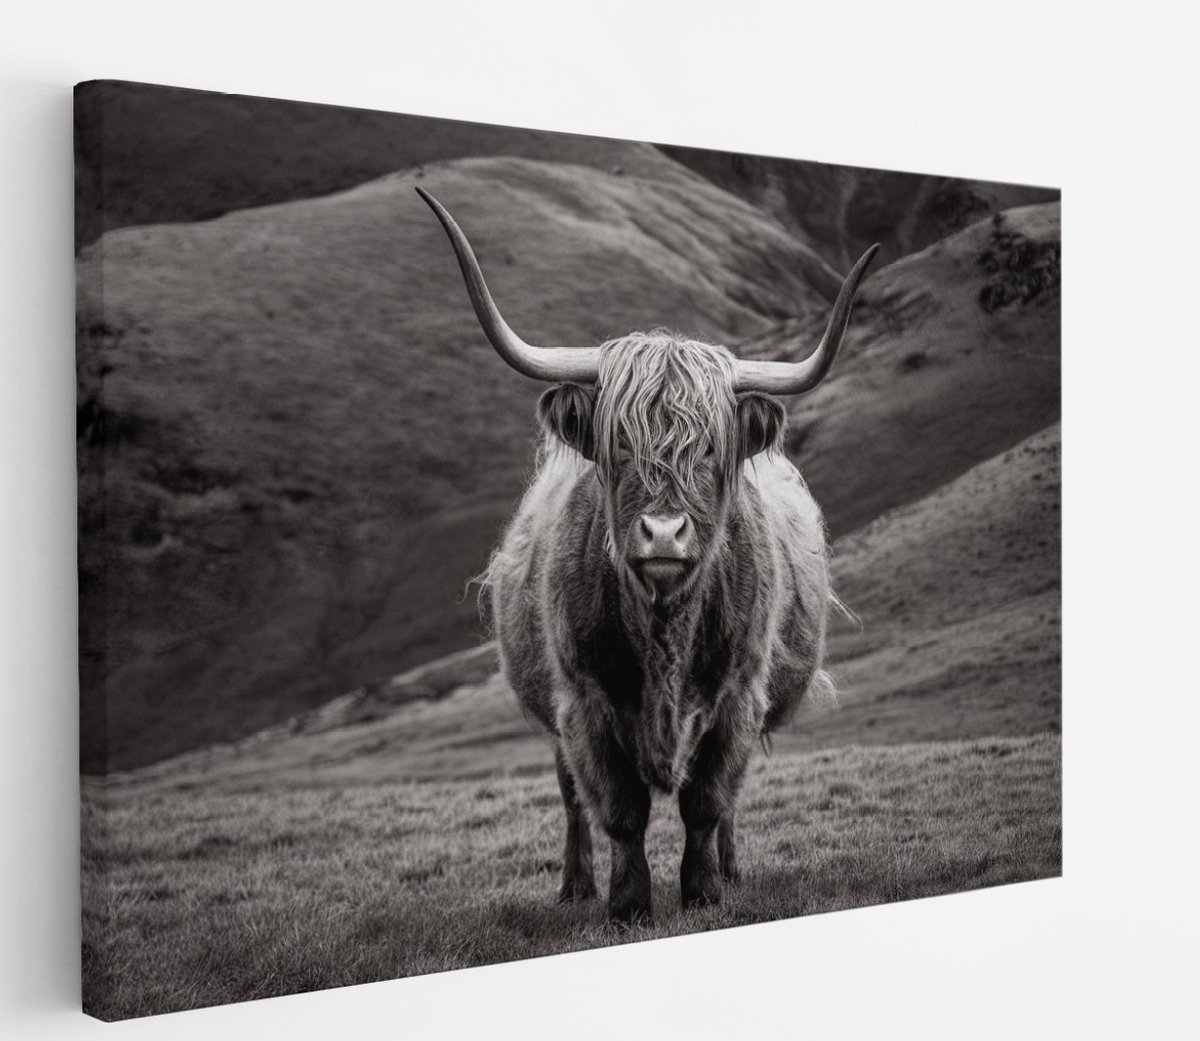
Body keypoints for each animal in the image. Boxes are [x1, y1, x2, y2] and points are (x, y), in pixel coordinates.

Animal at [417, 186, 877, 924]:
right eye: (619, 443)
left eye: (712, 445)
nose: (663, 533)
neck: (664, 631)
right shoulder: (584, 700)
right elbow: (619, 809)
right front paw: (627, 903)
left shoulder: (736, 696)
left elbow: (707, 802)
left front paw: (705, 892)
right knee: (571, 797)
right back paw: (575, 885)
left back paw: (733, 870)